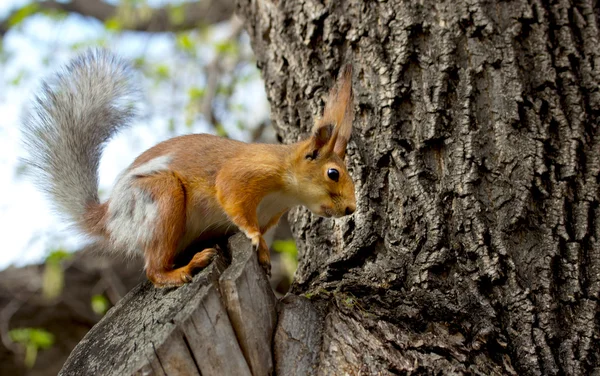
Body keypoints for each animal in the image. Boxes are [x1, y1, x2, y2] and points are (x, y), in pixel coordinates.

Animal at [21, 50, 356, 288]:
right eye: (333, 173)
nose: (351, 209)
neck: (283, 190)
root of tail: (109, 218)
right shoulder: (243, 175)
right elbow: (233, 200)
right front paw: (256, 241)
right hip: (161, 199)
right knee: (154, 270)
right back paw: (185, 269)